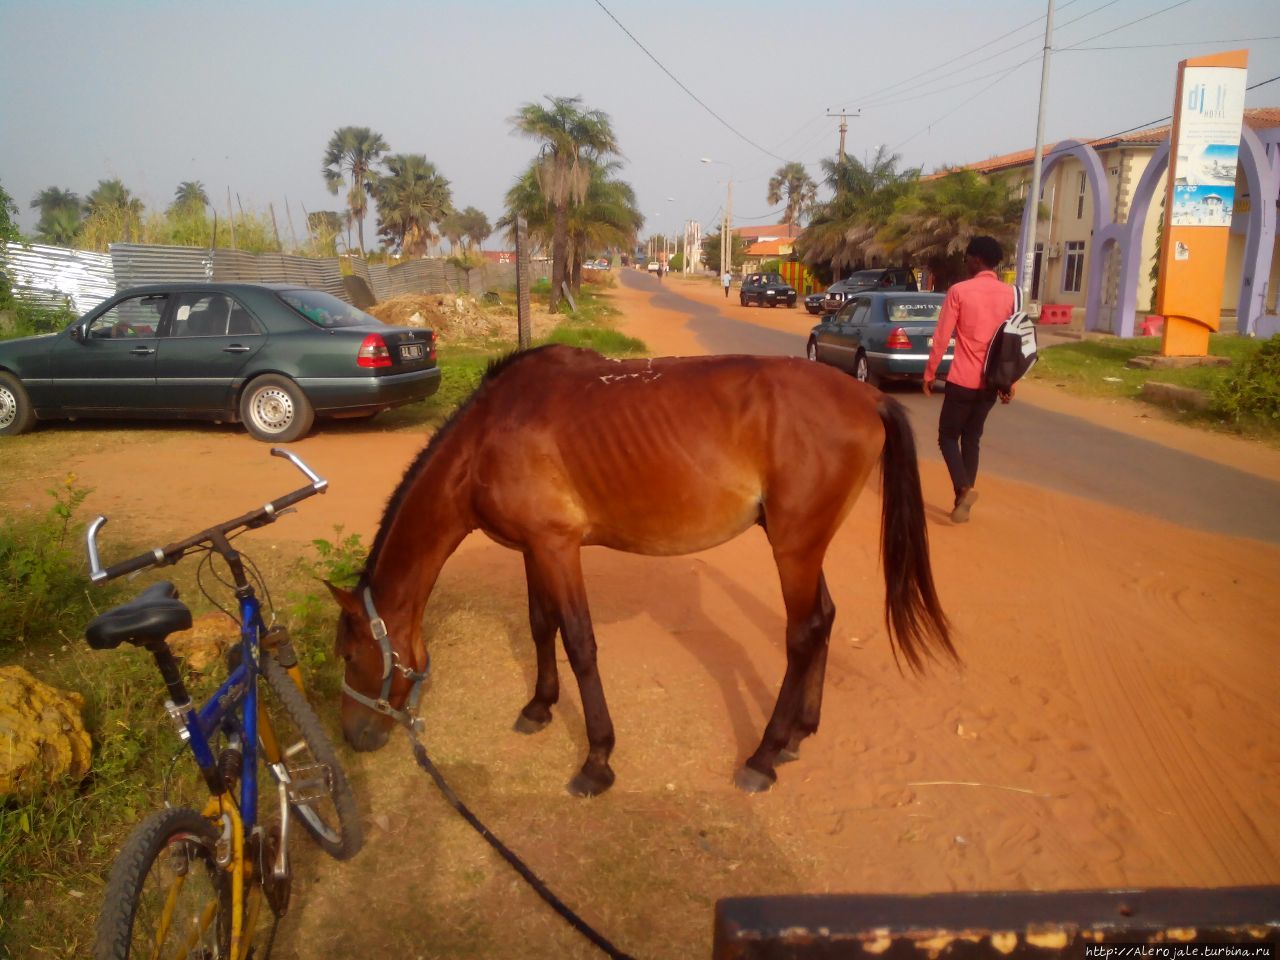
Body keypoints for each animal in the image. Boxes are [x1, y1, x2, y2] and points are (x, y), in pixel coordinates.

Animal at [325, 345, 957, 798]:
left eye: (352, 656)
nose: (353, 738)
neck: (486, 438)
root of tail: (867, 396)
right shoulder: (534, 549)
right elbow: (540, 624)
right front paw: (539, 707)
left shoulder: (558, 548)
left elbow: (580, 643)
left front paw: (597, 760)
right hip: (802, 544)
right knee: (823, 619)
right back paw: (799, 733)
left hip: (794, 547)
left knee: (802, 635)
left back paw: (763, 756)